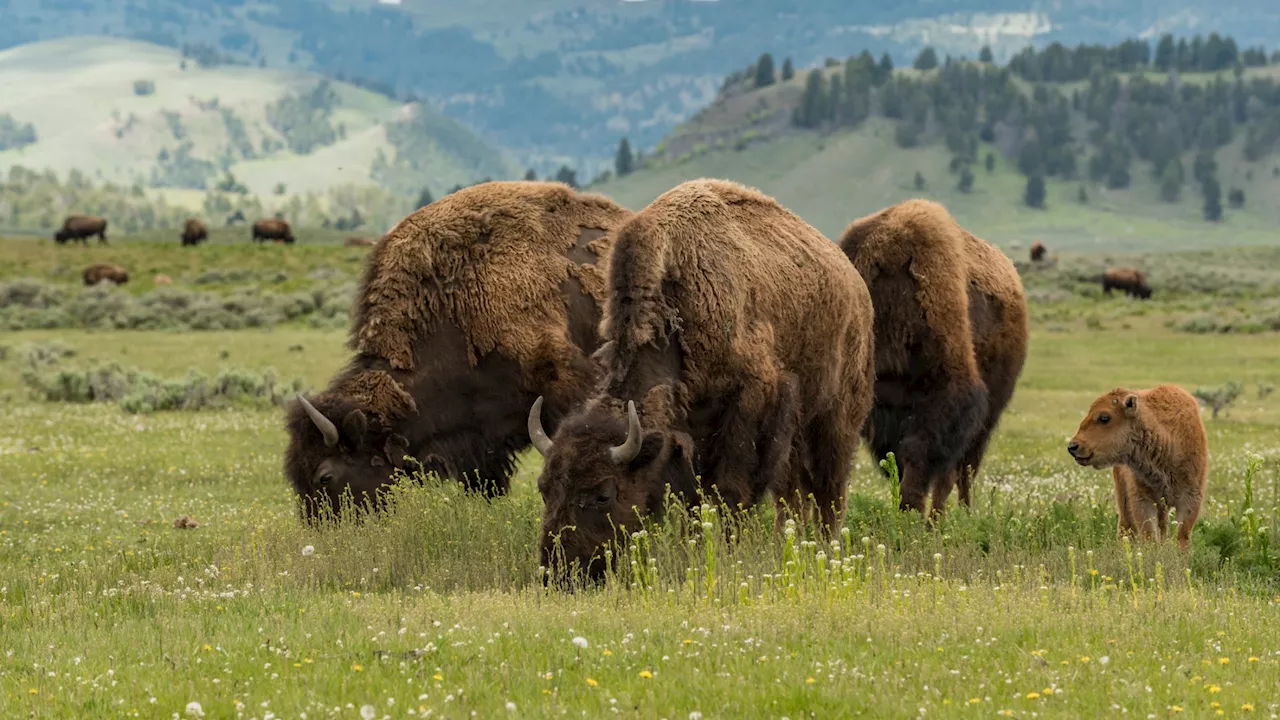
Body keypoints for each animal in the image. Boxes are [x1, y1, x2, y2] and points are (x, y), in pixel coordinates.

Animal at [524, 178, 875, 584]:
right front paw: (689, 551)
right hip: (796, 438)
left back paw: (828, 550)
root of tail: (856, 286)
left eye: (603, 494)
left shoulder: (748, 407)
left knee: (830, 490)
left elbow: (731, 493)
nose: (557, 571)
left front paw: (726, 554)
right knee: (794, 494)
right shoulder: (685, 436)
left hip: (835, 420)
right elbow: (690, 501)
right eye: (544, 488)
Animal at [1070, 386, 1208, 548]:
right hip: (1124, 497)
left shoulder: (1190, 499)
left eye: (1104, 417)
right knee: (1126, 527)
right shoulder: (1142, 500)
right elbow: (1149, 536)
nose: (1073, 446)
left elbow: (1182, 537)